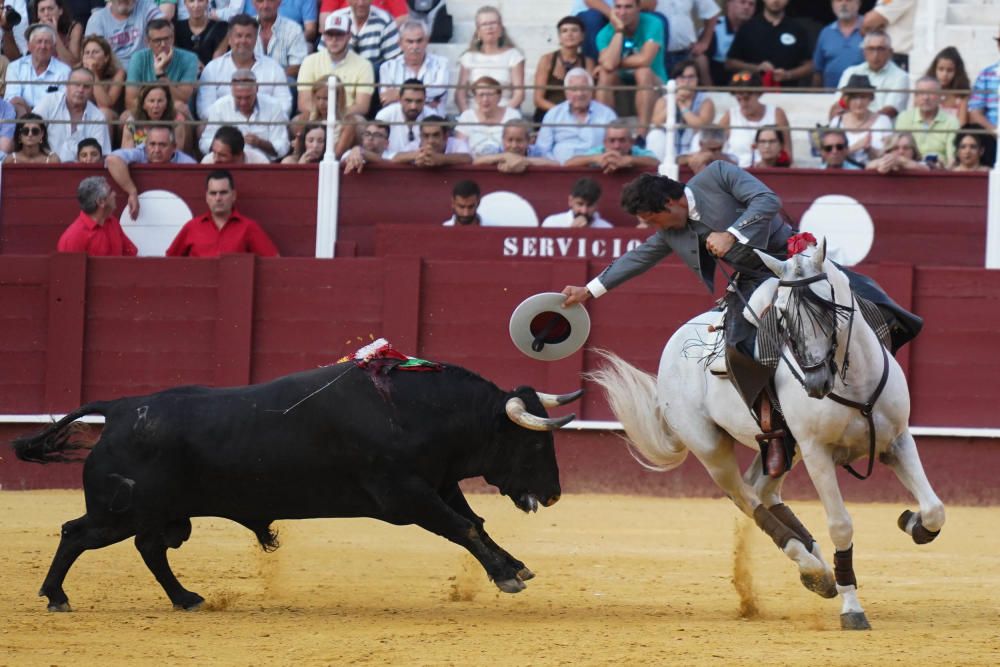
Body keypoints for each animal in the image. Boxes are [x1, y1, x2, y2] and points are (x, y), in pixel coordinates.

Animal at [11, 362, 584, 612]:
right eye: (534, 444)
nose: (554, 494)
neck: (416, 411)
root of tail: (120, 407)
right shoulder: (406, 495)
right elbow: (463, 528)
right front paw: (506, 576)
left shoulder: (437, 484)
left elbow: (475, 524)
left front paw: (514, 567)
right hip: (118, 511)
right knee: (76, 533)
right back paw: (55, 596)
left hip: (162, 514)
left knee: (149, 547)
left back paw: (187, 598)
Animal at [592, 240, 944, 632]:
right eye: (783, 318)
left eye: (827, 308)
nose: (815, 382)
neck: (853, 382)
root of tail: (678, 341)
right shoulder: (817, 453)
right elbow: (841, 525)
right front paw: (852, 608)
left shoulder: (897, 440)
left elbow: (934, 509)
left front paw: (912, 522)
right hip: (712, 449)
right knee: (747, 498)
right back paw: (810, 565)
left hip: (782, 446)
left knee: (762, 489)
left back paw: (817, 570)